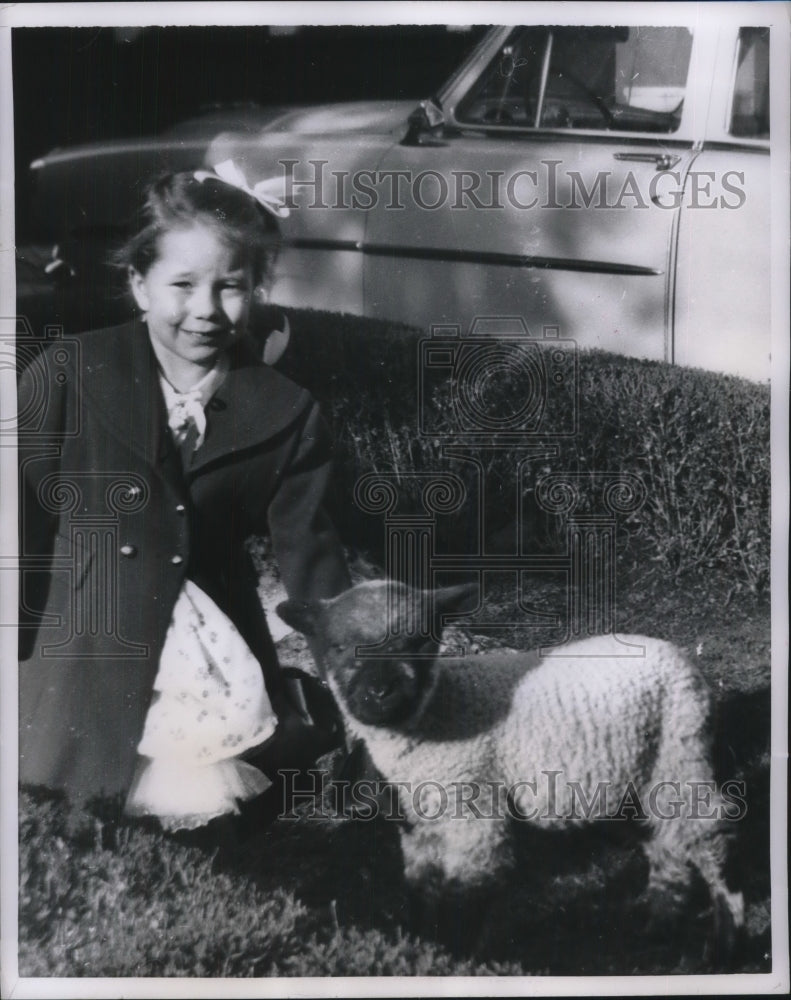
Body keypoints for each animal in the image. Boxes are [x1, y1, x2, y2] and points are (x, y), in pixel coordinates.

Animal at [276, 580, 744, 944]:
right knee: (666, 845)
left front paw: (454, 958)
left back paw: (725, 935)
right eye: (338, 647)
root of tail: (678, 653)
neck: (438, 713)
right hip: (637, 775)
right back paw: (661, 922)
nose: (380, 693)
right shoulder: (419, 827)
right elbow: (421, 893)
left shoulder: (473, 814)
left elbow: (465, 900)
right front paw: (423, 946)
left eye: (419, 641)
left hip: (680, 754)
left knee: (707, 835)